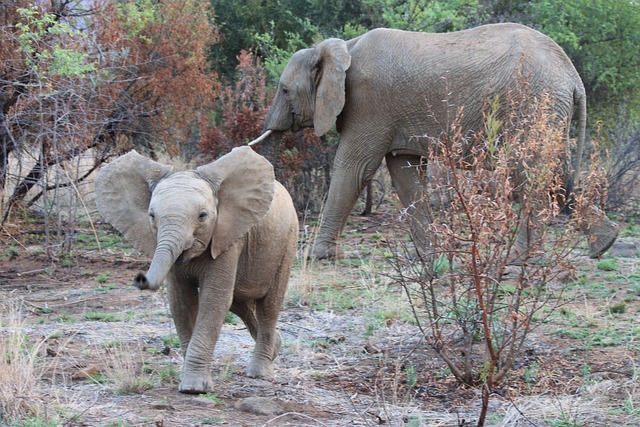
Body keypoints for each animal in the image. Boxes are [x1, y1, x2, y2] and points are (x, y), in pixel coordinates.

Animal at [94, 146, 298, 394]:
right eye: (152, 216)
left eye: (202, 216)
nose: (140, 278)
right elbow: (181, 302)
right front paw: (188, 383)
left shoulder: (226, 237)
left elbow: (213, 300)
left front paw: (194, 388)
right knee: (239, 302)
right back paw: (276, 347)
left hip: (287, 240)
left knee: (269, 304)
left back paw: (259, 373)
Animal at [252, 23, 616, 260]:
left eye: (284, 90)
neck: (343, 48)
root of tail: (573, 76)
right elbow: (406, 175)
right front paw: (430, 256)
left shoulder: (370, 103)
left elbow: (355, 168)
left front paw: (317, 256)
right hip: (548, 108)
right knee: (555, 171)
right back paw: (604, 245)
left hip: (532, 101)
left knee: (528, 171)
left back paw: (522, 260)